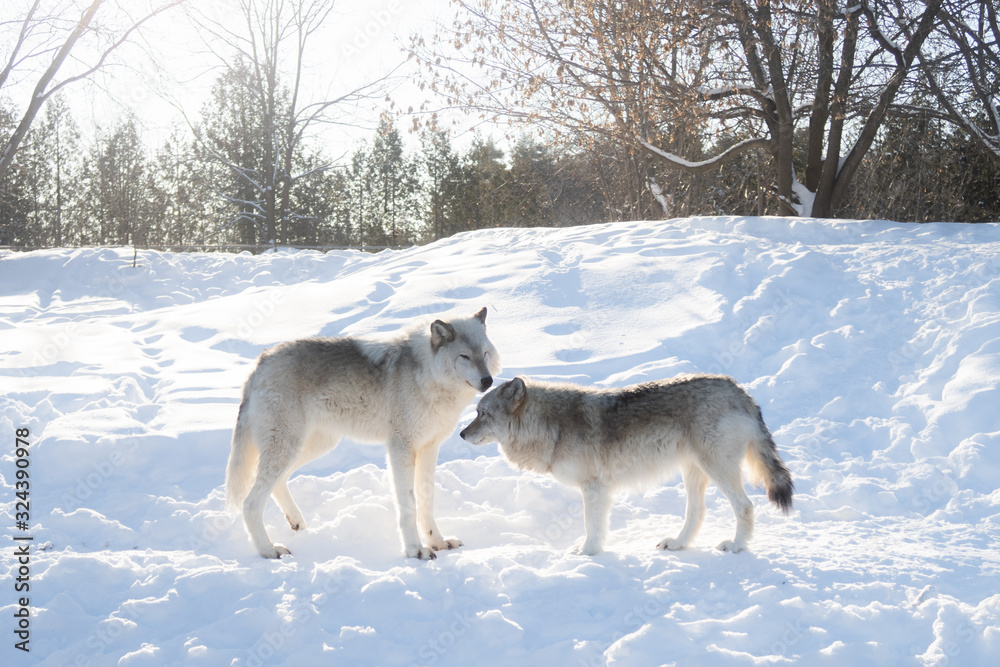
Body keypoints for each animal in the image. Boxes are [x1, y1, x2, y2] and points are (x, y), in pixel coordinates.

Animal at [226, 307, 500, 559]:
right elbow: (408, 505)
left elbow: (426, 501)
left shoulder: (429, 447)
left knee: (278, 483)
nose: (488, 381)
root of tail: (259, 363)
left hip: (312, 445)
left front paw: (438, 542)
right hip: (290, 446)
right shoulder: (401, 448)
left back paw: (296, 521)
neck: (428, 377)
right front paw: (415, 550)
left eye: (484, 354)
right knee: (250, 503)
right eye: (464, 356)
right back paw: (269, 550)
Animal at [460, 374, 792, 555]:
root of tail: (740, 391)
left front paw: (586, 552)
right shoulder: (599, 489)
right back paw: (678, 544)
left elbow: (591, 526)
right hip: (693, 472)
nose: (462, 434)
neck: (553, 427)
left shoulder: (593, 487)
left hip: (716, 468)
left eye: (482, 414)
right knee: (697, 513)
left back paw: (736, 546)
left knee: (745, 507)